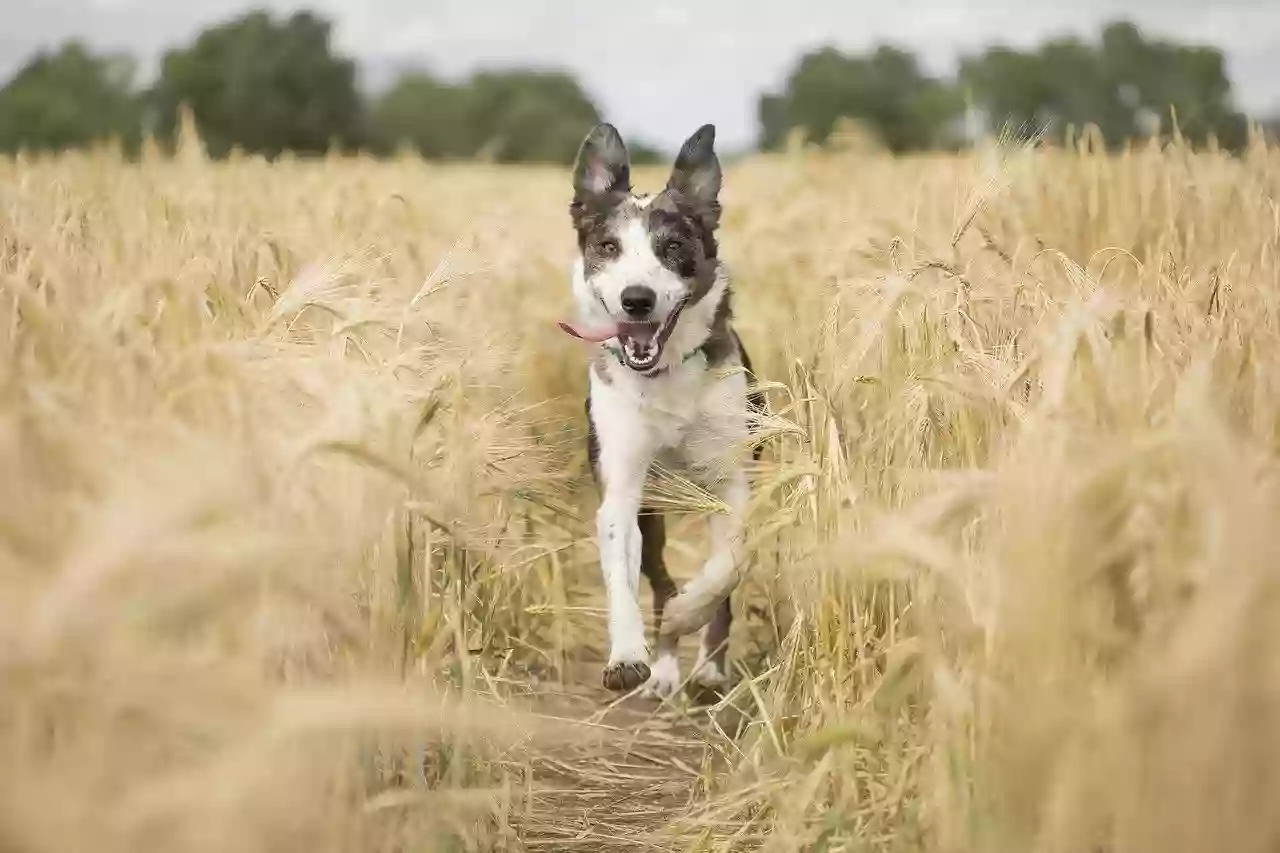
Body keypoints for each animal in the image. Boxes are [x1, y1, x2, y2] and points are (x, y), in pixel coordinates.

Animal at [558, 124, 757, 696]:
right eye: (608, 247)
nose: (637, 299)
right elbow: (620, 575)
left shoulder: (731, 482)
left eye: (673, 247)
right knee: (658, 577)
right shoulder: (623, 489)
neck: (664, 376)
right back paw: (664, 668)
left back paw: (706, 666)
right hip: (654, 511)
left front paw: (691, 618)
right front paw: (628, 655)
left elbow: (725, 569)